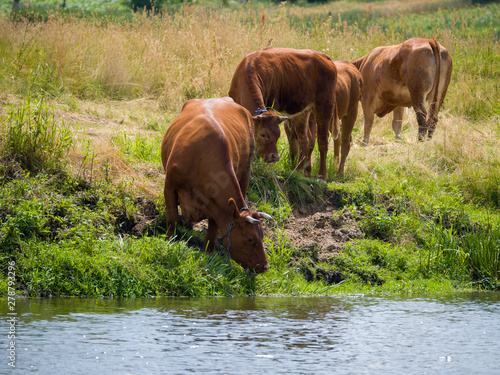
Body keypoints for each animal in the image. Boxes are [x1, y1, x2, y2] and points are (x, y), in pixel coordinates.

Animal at [162, 97, 272, 274]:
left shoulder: (217, 206)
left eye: (262, 236)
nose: (265, 266)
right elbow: (172, 220)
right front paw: (168, 242)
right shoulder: (169, 186)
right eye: (250, 239)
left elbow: (211, 235)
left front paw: (209, 258)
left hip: (246, 171)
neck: (201, 159)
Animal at [229, 47, 340, 182]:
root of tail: (323, 56)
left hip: (325, 105)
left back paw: (321, 176)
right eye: (263, 134)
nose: (275, 157)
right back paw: (299, 172)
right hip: (303, 111)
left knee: (322, 140)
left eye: (278, 135)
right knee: (305, 140)